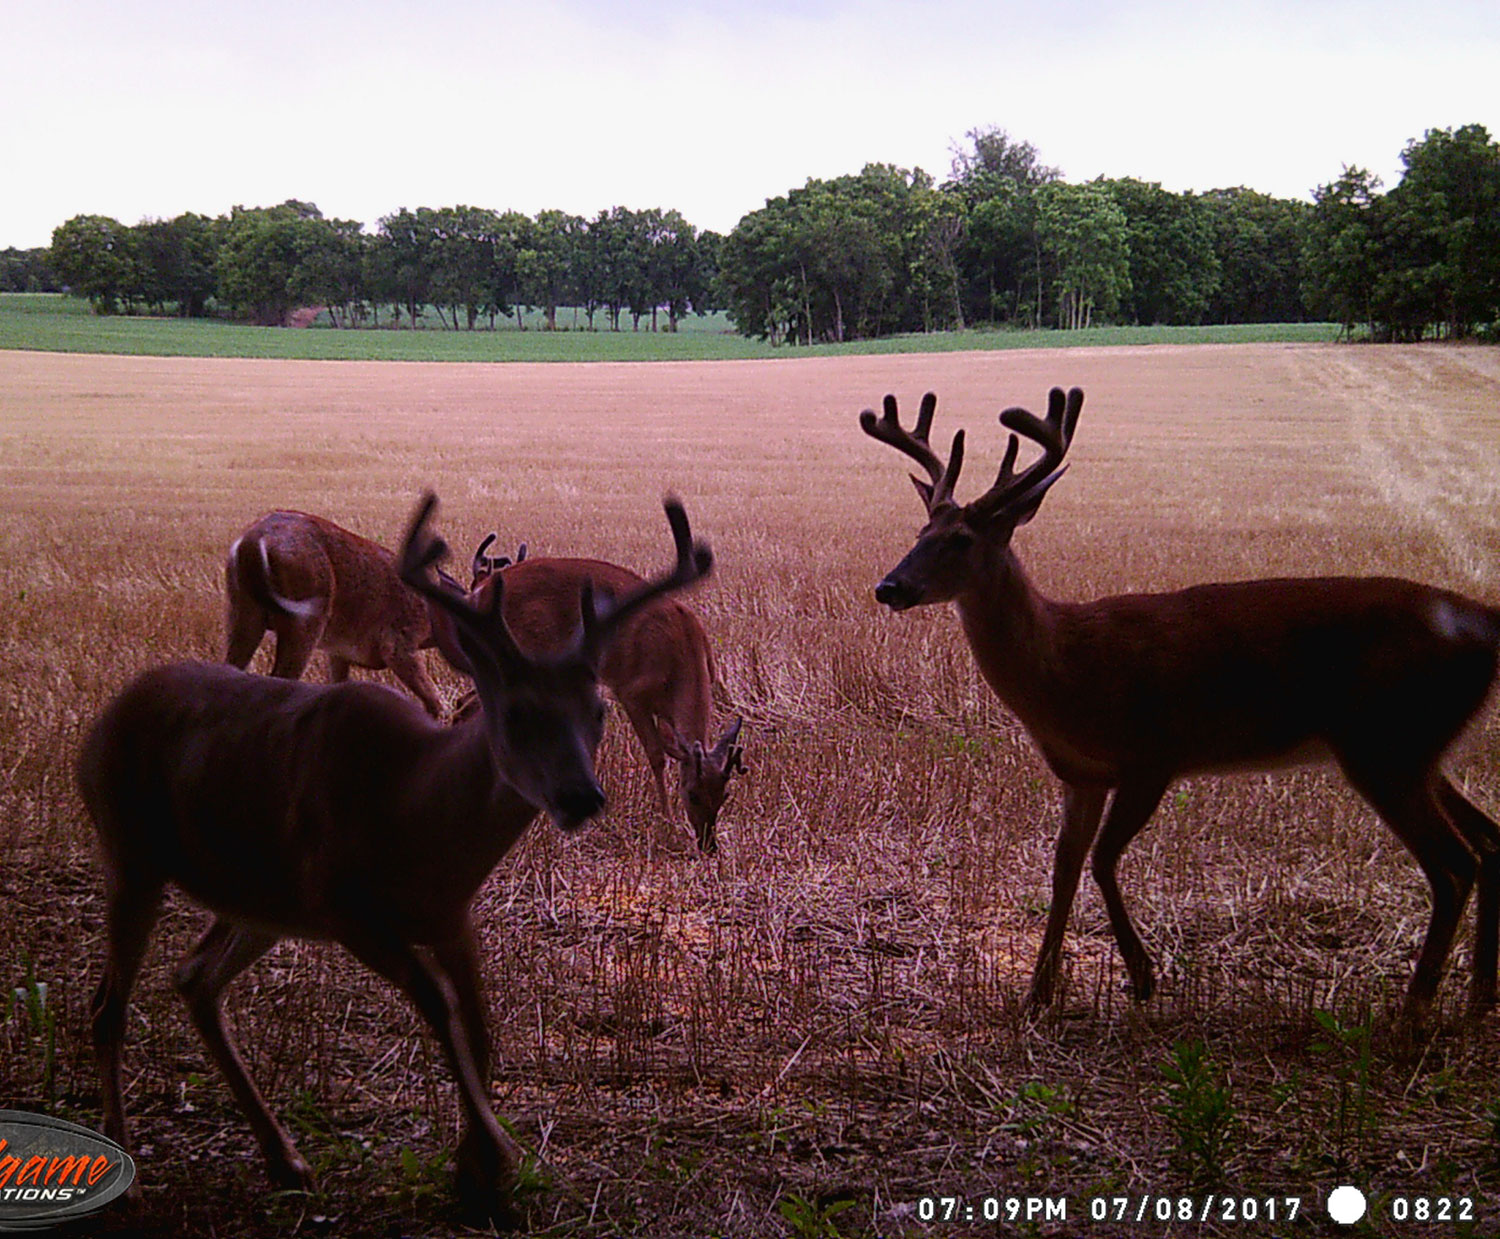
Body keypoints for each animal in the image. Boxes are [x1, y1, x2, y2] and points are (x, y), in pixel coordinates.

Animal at [77, 489, 714, 1218]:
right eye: (515, 710)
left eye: (597, 712)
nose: (580, 796)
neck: (418, 813)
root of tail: (105, 720)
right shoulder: (349, 909)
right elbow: (439, 1007)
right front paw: (493, 1155)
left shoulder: (450, 918)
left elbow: (480, 1027)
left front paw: (474, 1166)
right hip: (135, 857)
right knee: (107, 1006)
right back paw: (128, 1178)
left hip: (261, 899)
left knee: (194, 977)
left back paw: (286, 1159)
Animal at [858, 387, 1500, 1026]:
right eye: (919, 532)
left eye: (961, 540)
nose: (889, 586)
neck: (1066, 669)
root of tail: (1482, 623)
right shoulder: (1081, 773)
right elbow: (1065, 867)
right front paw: (1038, 992)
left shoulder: (1153, 754)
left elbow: (1102, 859)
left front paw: (1143, 976)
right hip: (1414, 748)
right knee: (1487, 841)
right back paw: (1475, 1003)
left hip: (1383, 746)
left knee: (1453, 866)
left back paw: (1414, 1012)